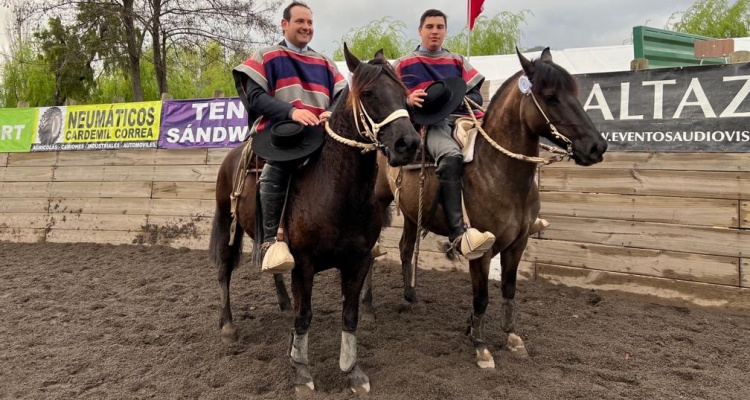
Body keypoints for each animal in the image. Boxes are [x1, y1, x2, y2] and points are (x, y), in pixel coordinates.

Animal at [209, 45, 420, 392]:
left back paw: (282, 304)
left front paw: (352, 370)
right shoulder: (304, 264)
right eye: (369, 93)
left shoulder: (358, 262)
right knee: (225, 269)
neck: (338, 193)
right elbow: (304, 315)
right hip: (229, 224)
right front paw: (301, 371)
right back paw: (227, 327)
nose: (409, 144)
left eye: (404, 94)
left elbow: (350, 316)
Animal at [366, 47, 612, 368]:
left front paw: (511, 337)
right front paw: (480, 346)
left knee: (406, 249)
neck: (498, 170)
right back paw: (367, 308)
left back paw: (411, 297)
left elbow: (508, 288)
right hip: (377, 203)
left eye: (574, 93)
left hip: (410, 213)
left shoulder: (518, 243)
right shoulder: (480, 252)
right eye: (550, 97)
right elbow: (481, 295)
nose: (597, 147)